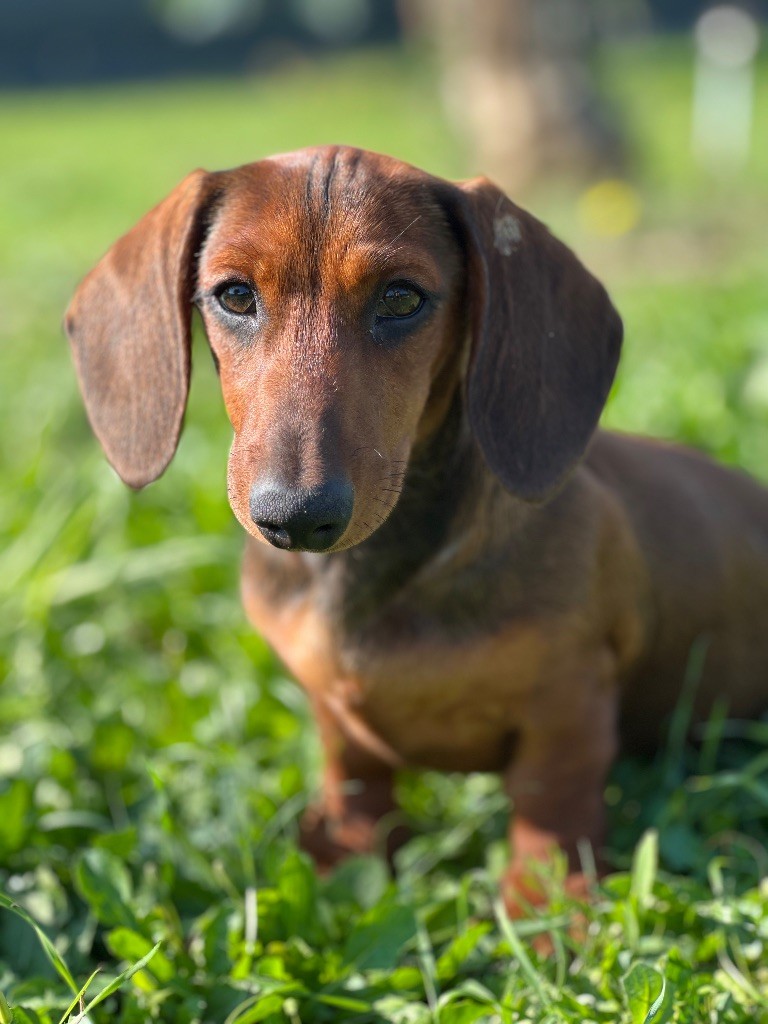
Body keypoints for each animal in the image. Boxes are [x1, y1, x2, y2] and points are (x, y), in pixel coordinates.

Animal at [64, 148, 768, 909]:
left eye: (402, 299)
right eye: (234, 296)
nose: (295, 517)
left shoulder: (571, 701)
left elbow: (550, 801)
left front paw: (546, 905)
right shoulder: (334, 717)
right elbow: (356, 783)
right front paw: (346, 859)